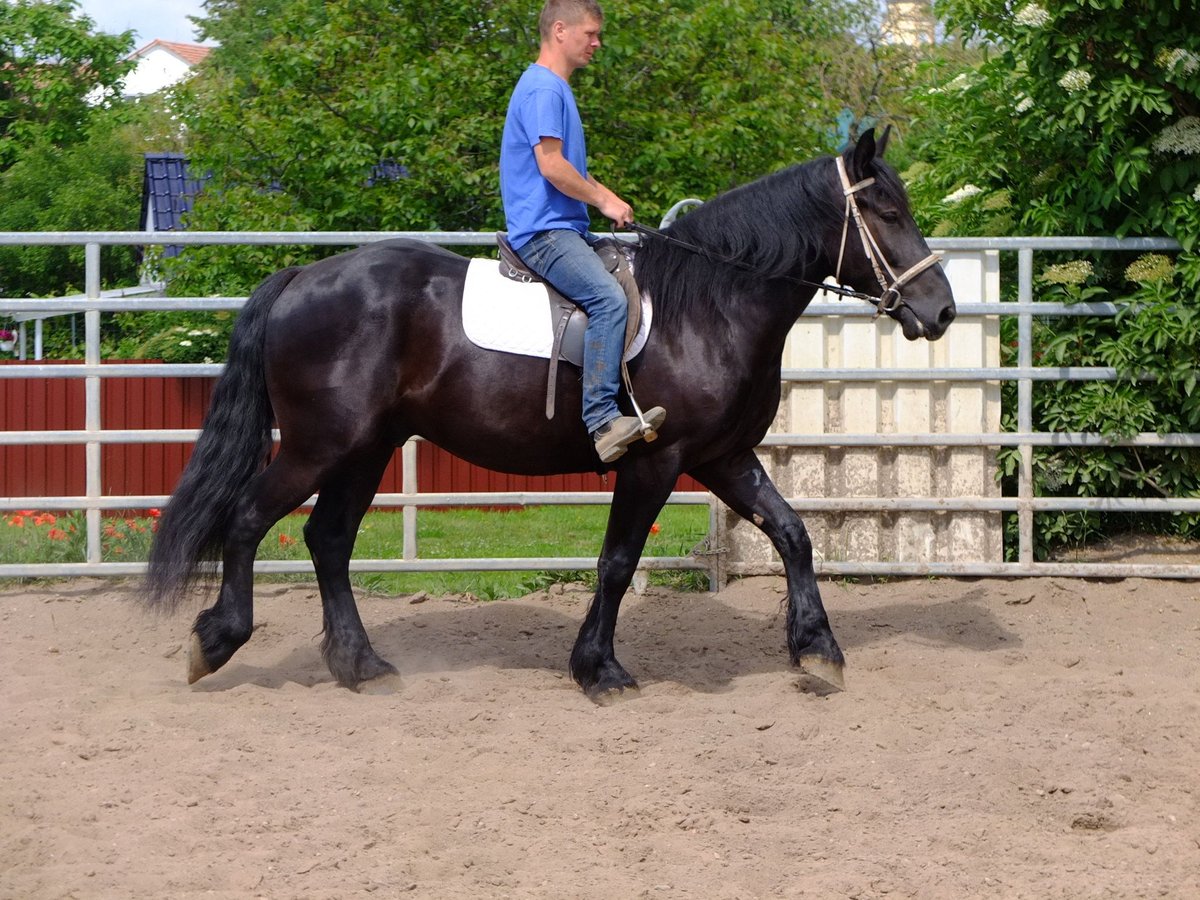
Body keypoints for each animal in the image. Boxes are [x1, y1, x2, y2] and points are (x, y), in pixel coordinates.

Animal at [145, 130, 955, 700]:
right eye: (886, 211)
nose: (941, 309)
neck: (709, 307)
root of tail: (299, 278)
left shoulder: (722, 457)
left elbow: (792, 534)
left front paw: (818, 649)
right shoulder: (656, 460)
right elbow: (618, 562)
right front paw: (600, 670)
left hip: (365, 449)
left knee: (328, 540)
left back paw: (361, 663)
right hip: (319, 445)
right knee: (249, 520)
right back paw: (217, 641)